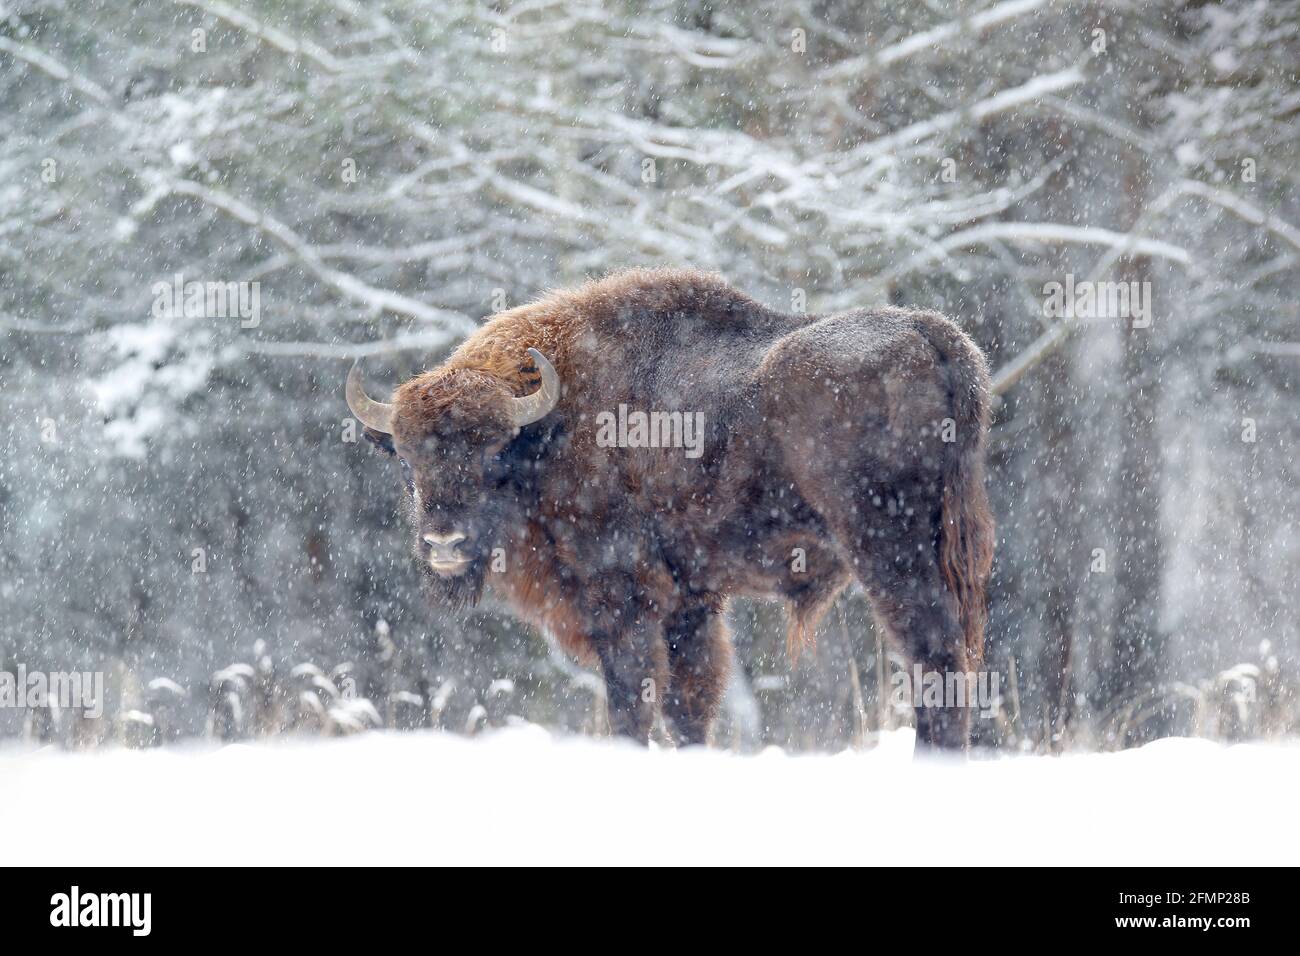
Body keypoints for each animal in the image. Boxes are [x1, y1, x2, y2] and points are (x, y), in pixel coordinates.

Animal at [345, 267, 993, 749]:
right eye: (406, 459)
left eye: (494, 452)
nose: (444, 544)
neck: (552, 426)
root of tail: (928, 331)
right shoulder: (693, 600)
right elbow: (689, 705)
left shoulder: (619, 598)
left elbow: (632, 701)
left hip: (888, 552)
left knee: (934, 657)